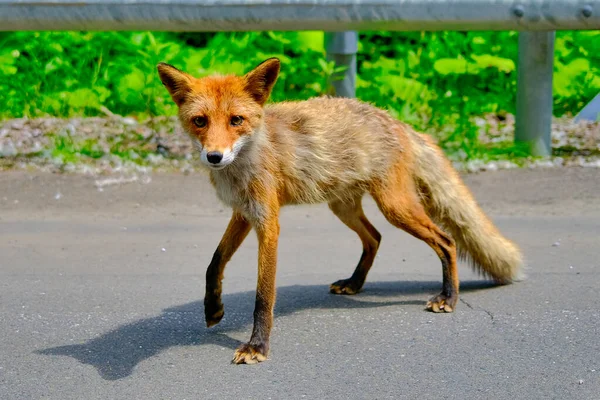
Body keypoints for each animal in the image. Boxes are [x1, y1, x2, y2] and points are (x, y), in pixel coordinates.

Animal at [157, 57, 524, 366]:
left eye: (237, 120)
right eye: (200, 121)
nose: (215, 156)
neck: (246, 162)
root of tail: (397, 121)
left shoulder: (268, 222)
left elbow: (263, 296)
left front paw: (257, 347)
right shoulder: (244, 213)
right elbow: (214, 263)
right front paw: (213, 309)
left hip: (395, 207)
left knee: (446, 240)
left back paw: (449, 298)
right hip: (343, 207)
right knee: (375, 237)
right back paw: (355, 282)